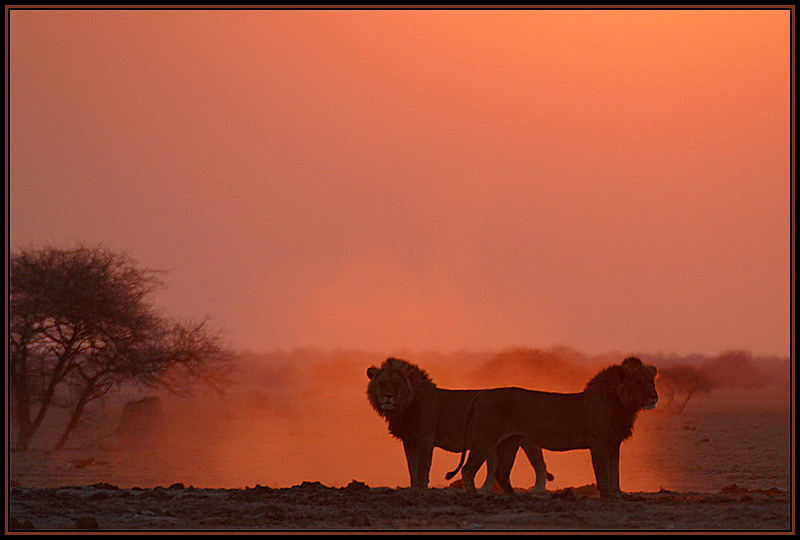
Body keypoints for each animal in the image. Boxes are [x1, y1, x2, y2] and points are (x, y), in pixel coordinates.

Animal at [366, 356, 552, 492]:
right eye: (381, 383)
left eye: (397, 384)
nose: (388, 396)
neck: (405, 406)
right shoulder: (409, 440)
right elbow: (411, 466)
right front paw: (413, 488)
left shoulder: (426, 438)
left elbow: (422, 467)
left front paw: (421, 488)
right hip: (490, 441)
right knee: (493, 466)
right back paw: (484, 490)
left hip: (525, 440)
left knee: (540, 464)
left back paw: (538, 490)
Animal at [444, 356, 656, 500]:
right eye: (638, 383)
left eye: (651, 382)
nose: (654, 396)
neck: (620, 405)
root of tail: (481, 394)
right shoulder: (599, 443)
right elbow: (603, 473)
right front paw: (608, 496)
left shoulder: (614, 444)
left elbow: (615, 472)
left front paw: (617, 494)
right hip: (485, 439)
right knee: (468, 469)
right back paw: (473, 495)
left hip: (510, 442)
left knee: (502, 474)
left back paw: (516, 498)